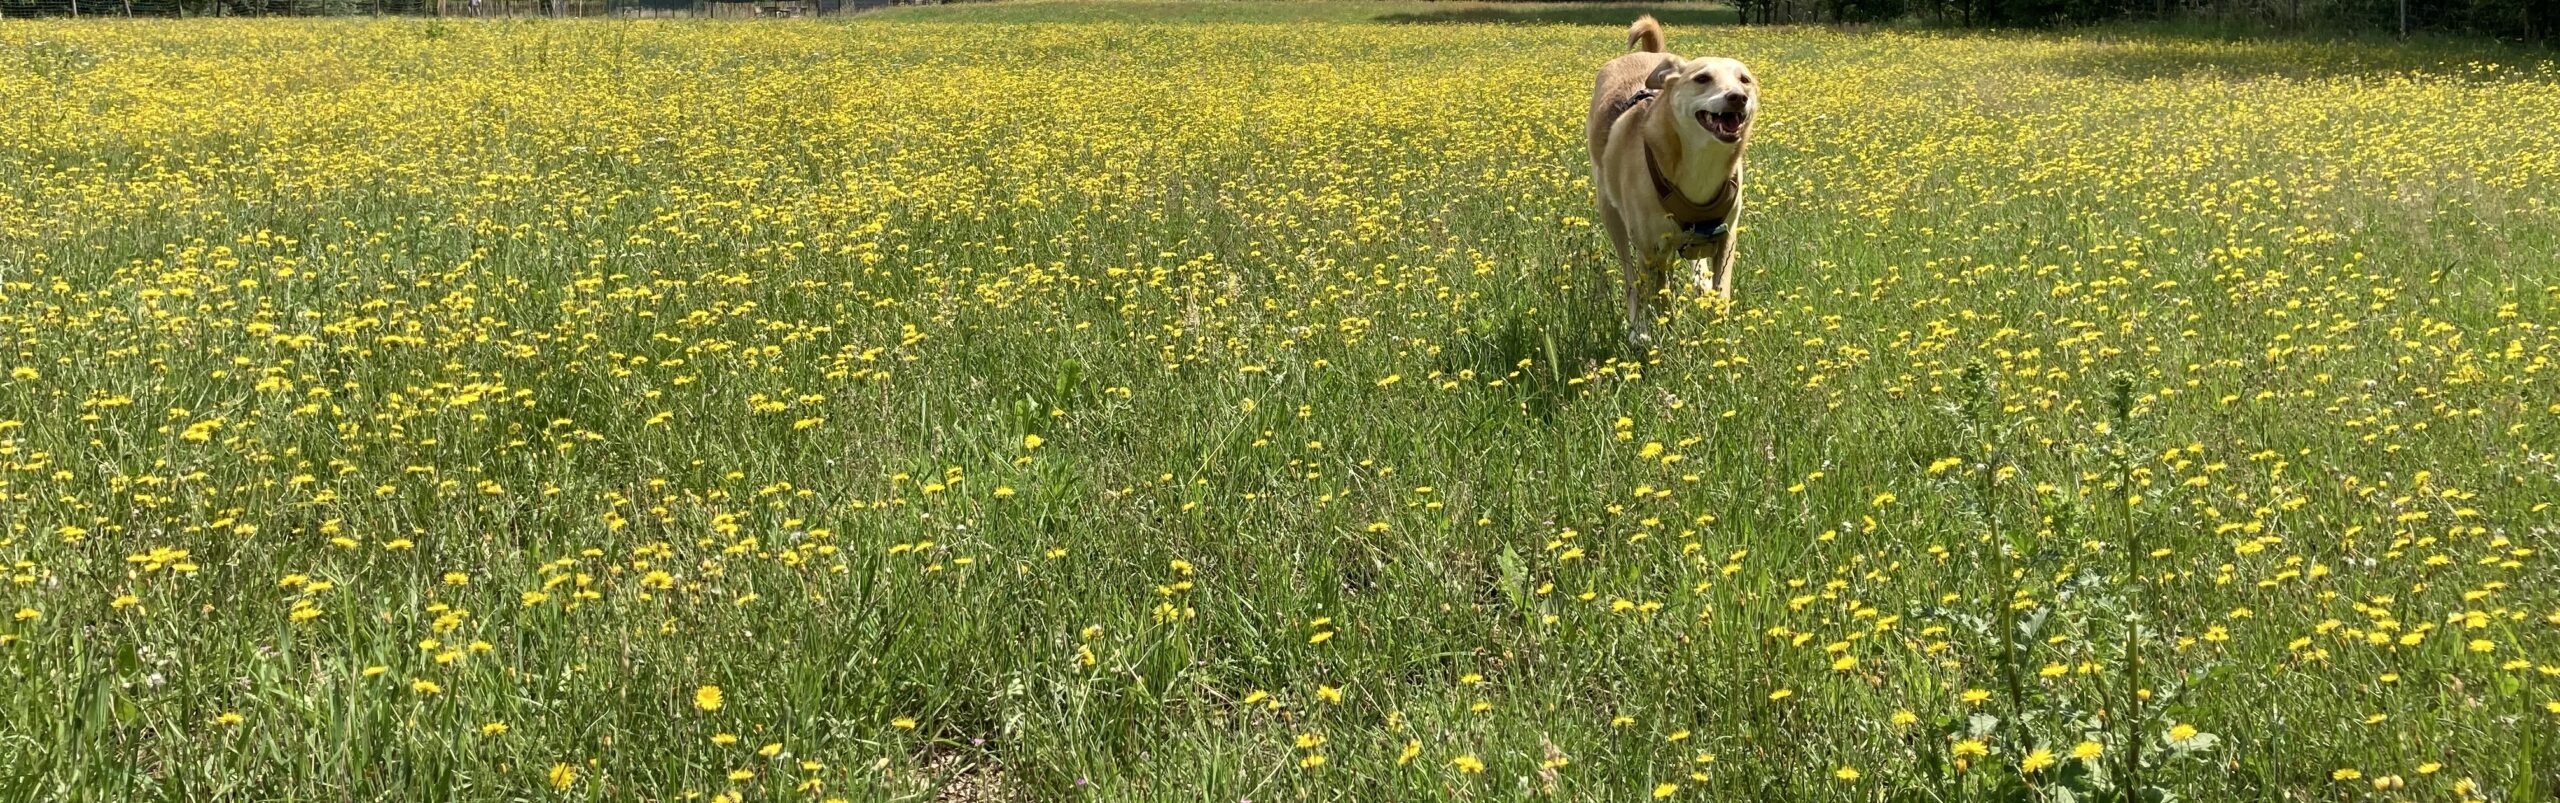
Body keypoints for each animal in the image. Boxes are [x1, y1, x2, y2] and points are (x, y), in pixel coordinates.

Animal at [1576, 14, 1761, 342]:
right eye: (1702, 78)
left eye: (1745, 80)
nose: (1737, 97)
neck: (1700, 162)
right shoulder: (1652, 249)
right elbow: (1659, 299)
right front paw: (1666, 339)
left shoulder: (1726, 237)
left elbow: (1722, 291)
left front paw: (1718, 336)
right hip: (1612, 216)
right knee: (1632, 281)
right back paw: (1638, 330)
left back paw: (1699, 282)